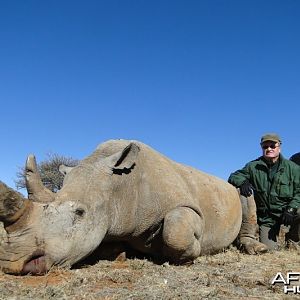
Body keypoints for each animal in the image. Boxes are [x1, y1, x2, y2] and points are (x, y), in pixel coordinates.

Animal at [0, 139, 241, 276]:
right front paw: (120, 253)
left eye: (80, 212)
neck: (121, 186)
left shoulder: (186, 205)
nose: (11, 263)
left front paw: (188, 256)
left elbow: (176, 231)